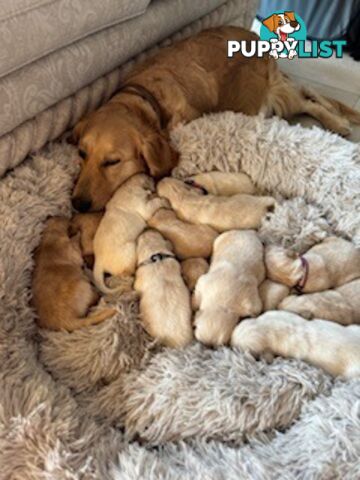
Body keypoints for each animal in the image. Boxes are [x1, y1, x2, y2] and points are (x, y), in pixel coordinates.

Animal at [71, 26, 360, 212]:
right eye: (82, 154)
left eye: (112, 162)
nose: (77, 204)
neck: (145, 96)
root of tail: (255, 36)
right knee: (308, 94)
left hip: (278, 98)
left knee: (310, 100)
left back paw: (338, 123)